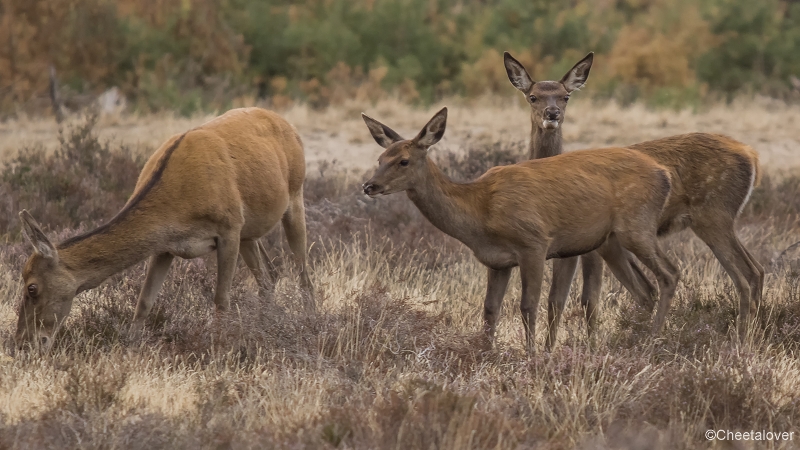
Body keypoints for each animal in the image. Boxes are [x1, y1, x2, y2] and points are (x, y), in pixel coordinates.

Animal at [14, 106, 316, 348]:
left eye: (32, 287)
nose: (23, 342)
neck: (179, 207)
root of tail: (287, 124)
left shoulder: (228, 227)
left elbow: (221, 298)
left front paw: (219, 347)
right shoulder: (164, 246)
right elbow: (144, 301)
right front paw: (129, 347)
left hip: (295, 194)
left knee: (303, 273)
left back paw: (311, 322)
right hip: (249, 231)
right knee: (269, 275)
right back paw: (269, 324)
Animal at [362, 107, 680, 350]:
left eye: (403, 161)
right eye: (379, 159)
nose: (369, 186)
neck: (480, 212)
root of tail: (664, 173)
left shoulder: (534, 243)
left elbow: (528, 305)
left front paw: (530, 354)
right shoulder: (497, 261)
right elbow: (490, 308)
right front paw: (485, 352)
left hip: (637, 225)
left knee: (670, 273)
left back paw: (652, 340)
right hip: (609, 240)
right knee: (644, 289)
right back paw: (636, 338)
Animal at [504, 50, 764, 344]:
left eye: (565, 96)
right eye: (533, 96)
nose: (552, 113)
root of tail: (752, 155)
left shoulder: (591, 246)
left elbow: (585, 299)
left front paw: (586, 345)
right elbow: (559, 300)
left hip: (713, 215)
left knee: (744, 275)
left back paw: (737, 339)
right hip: (717, 220)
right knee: (757, 270)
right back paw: (752, 334)